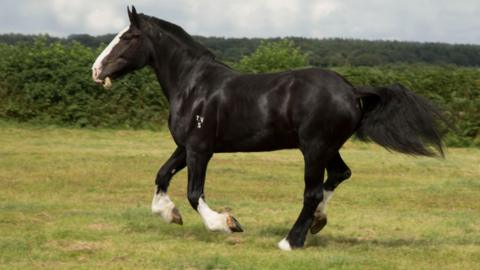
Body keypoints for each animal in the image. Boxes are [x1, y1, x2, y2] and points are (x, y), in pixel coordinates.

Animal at [90, 6, 442, 251]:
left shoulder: (200, 149)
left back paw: (291, 241)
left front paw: (227, 223)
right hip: (329, 148)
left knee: (313, 192)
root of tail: (352, 91)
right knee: (340, 175)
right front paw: (169, 214)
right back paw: (317, 222)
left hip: (314, 148)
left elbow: (193, 193)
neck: (194, 86)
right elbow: (162, 176)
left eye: (128, 38)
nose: (96, 70)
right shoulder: (184, 147)